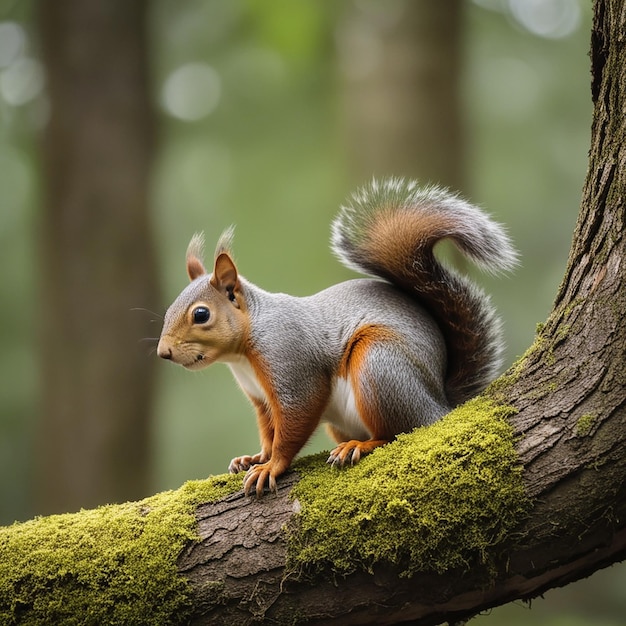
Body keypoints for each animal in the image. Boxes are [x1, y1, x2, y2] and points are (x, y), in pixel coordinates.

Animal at [157, 178, 516, 494]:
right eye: (169, 309)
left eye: (201, 314)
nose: (164, 353)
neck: (244, 350)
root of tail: (440, 404)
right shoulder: (261, 400)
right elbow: (269, 432)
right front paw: (256, 457)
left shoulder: (291, 364)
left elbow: (294, 422)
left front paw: (272, 466)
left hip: (379, 366)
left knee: (401, 431)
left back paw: (361, 445)